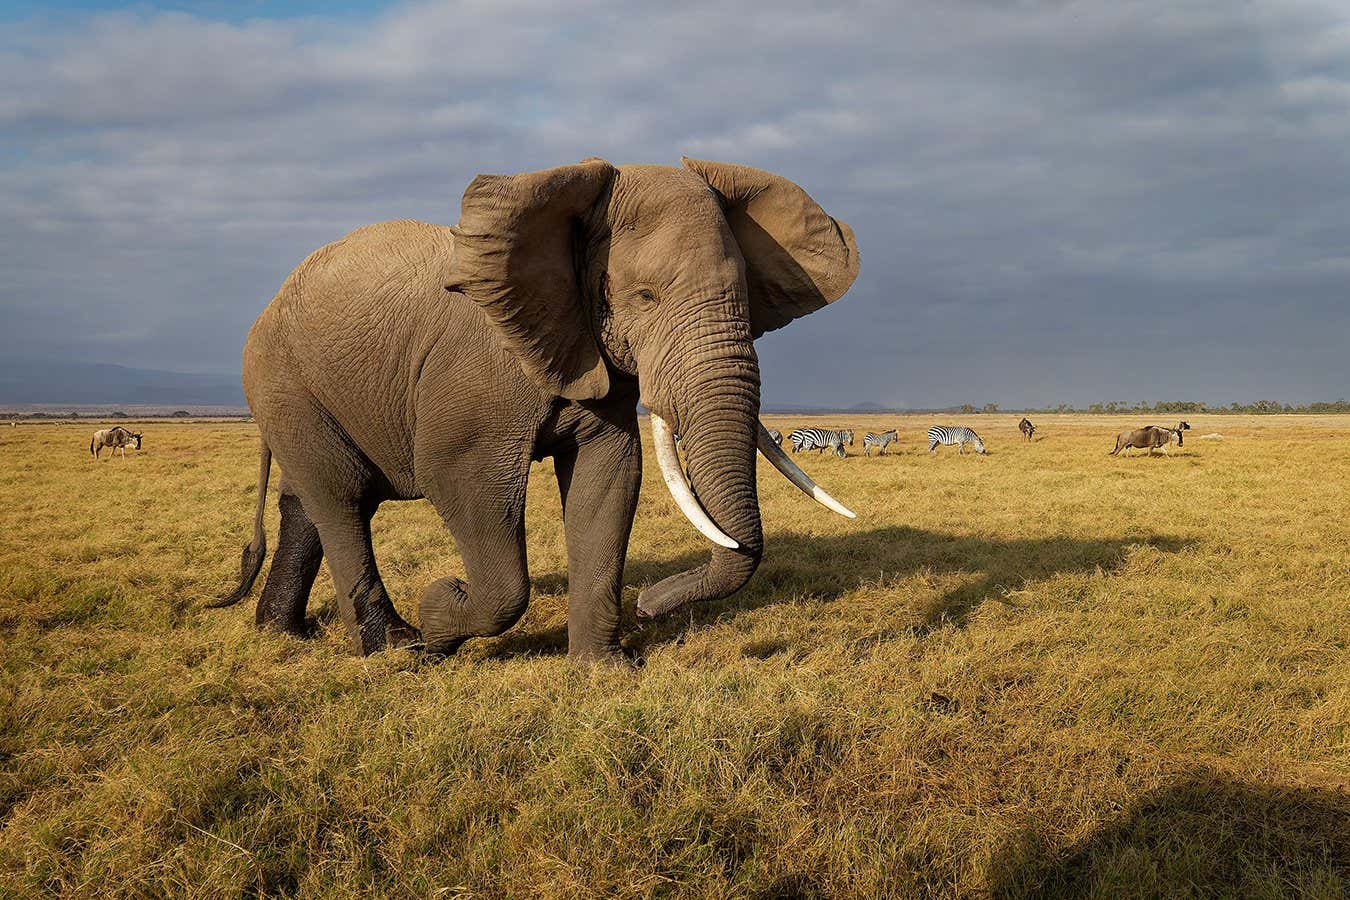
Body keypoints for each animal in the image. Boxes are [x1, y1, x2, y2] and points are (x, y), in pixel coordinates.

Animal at [212, 157, 860, 661]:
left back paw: (281, 634)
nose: (651, 608)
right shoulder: (478, 376)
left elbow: (609, 477)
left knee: (307, 503)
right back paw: (394, 647)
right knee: (342, 500)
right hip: (282, 383)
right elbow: (463, 484)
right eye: (644, 297)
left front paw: (602, 670)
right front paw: (440, 610)